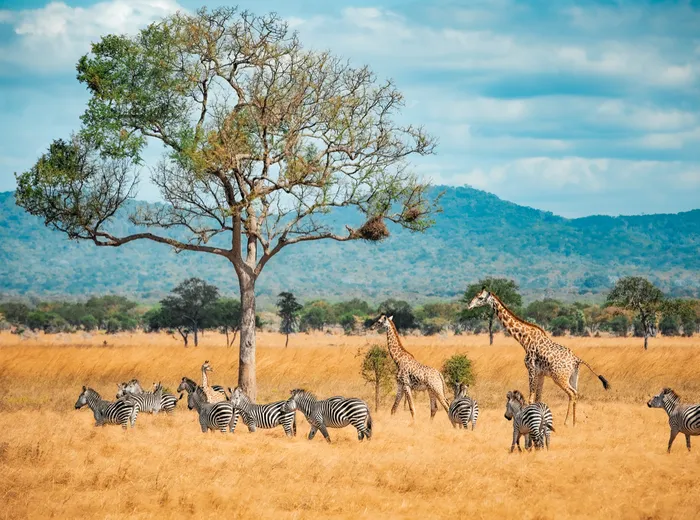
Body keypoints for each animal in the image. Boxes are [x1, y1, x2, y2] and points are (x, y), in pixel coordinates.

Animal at [468, 288, 610, 426]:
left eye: (480, 297)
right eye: (475, 295)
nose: (469, 305)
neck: (524, 339)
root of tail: (576, 360)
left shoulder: (531, 369)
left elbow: (530, 398)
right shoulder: (541, 373)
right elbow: (538, 398)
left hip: (560, 378)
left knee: (572, 393)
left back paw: (566, 422)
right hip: (573, 377)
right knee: (576, 393)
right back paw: (574, 423)